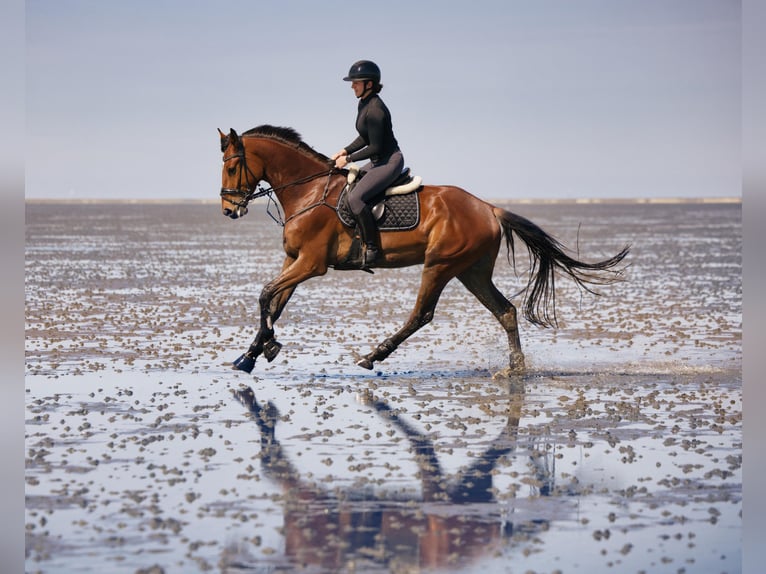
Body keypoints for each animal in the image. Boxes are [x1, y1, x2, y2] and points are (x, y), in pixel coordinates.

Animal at [218, 125, 629, 375]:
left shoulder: (311, 263)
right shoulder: (294, 260)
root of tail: (488, 207)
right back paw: (515, 368)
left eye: (232, 166)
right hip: (471, 271)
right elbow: (275, 302)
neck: (309, 191)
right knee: (506, 311)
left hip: (441, 265)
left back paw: (373, 356)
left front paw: (266, 348)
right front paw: (251, 354)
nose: (227, 210)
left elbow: (265, 295)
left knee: (422, 314)